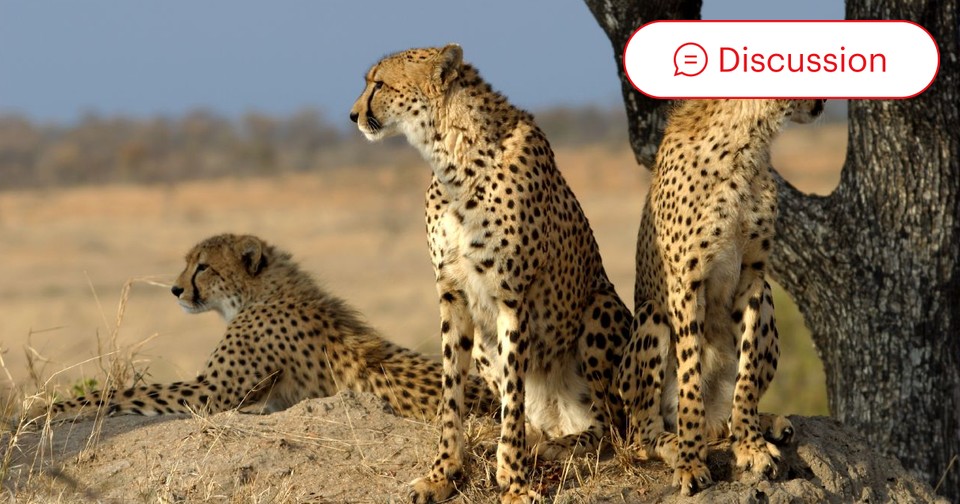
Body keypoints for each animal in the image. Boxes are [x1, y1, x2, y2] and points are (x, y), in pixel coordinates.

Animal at [26, 233, 497, 424]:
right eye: (188, 263)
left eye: (203, 266)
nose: (176, 289)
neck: (260, 293)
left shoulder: (212, 391)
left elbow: (127, 392)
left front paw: (57, 408)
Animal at [350, 44, 633, 503]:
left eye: (379, 83)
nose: (352, 115)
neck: (453, 156)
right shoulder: (452, 294)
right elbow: (452, 393)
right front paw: (442, 473)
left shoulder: (511, 298)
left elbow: (513, 398)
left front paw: (514, 482)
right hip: (486, 344)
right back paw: (536, 438)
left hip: (599, 308)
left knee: (613, 424)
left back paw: (564, 444)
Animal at [617, 99, 824, 495]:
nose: (823, 105)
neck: (748, 142)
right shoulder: (686, 283)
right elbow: (690, 381)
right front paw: (690, 462)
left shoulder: (754, 276)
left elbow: (746, 376)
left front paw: (751, 445)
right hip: (651, 316)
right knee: (642, 433)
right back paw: (673, 444)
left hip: (769, 302)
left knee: (726, 412)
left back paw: (762, 422)